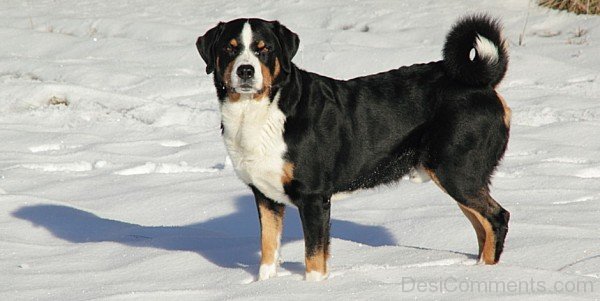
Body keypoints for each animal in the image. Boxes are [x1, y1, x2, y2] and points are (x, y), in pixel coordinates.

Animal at [196, 14, 510, 280]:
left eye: (264, 49)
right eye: (229, 49)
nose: (245, 70)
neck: (257, 113)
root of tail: (482, 83)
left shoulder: (313, 197)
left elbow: (314, 259)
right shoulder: (266, 197)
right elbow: (268, 252)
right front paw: (267, 286)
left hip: (458, 173)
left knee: (497, 218)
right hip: (460, 177)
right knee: (482, 226)